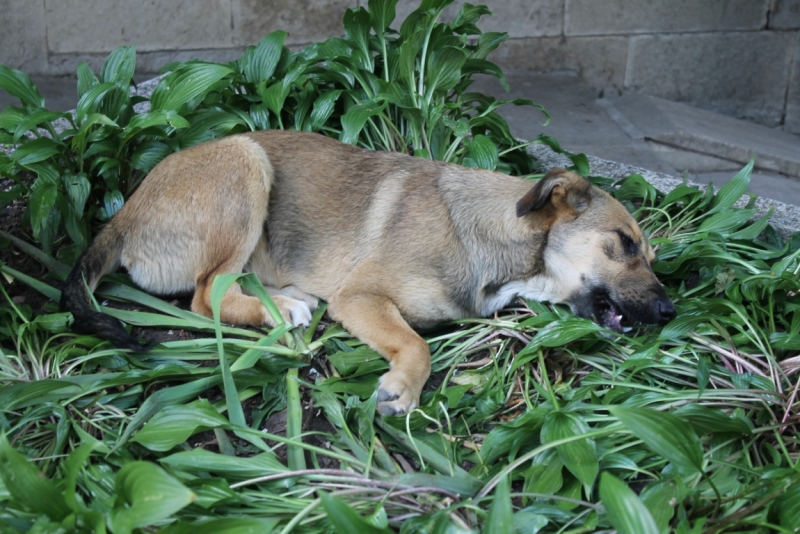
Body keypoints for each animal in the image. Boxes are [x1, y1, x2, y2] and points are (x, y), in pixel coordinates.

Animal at [62, 130, 676, 414]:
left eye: (650, 255)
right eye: (624, 244)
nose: (671, 311)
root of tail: (123, 215)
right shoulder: (361, 298)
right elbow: (417, 344)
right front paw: (402, 387)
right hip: (245, 165)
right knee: (206, 294)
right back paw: (280, 308)